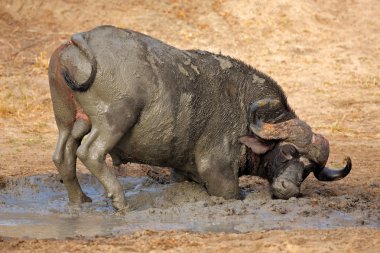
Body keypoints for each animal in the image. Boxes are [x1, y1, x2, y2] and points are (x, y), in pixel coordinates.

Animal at [48, 25, 350, 210]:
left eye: (309, 168)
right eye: (287, 151)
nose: (290, 189)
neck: (244, 110)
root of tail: (82, 40)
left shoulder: (182, 170)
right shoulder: (218, 171)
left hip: (68, 119)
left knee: (64, 154)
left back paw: (80, 200)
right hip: (115, 118)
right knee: (90, 152)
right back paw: (121, 201)